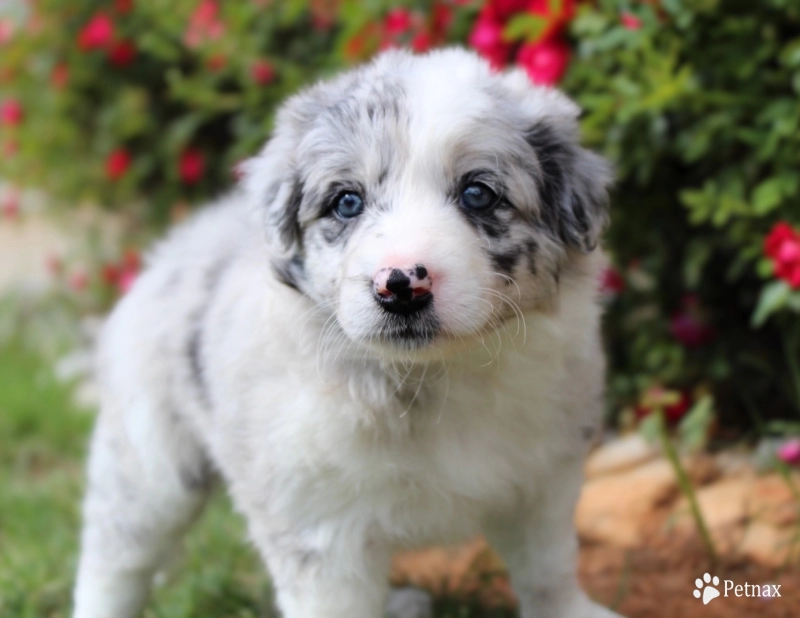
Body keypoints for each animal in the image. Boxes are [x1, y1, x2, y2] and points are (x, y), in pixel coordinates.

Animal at [73, 49, 620, 616]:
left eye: (478, 194)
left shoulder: (545, 477)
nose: (400, 285)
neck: (433, 377)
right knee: (113, 560)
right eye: (346, 202)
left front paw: (570, 611)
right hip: (148, 463)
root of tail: (175, 244)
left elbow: (548, 566)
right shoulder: (319, 527)